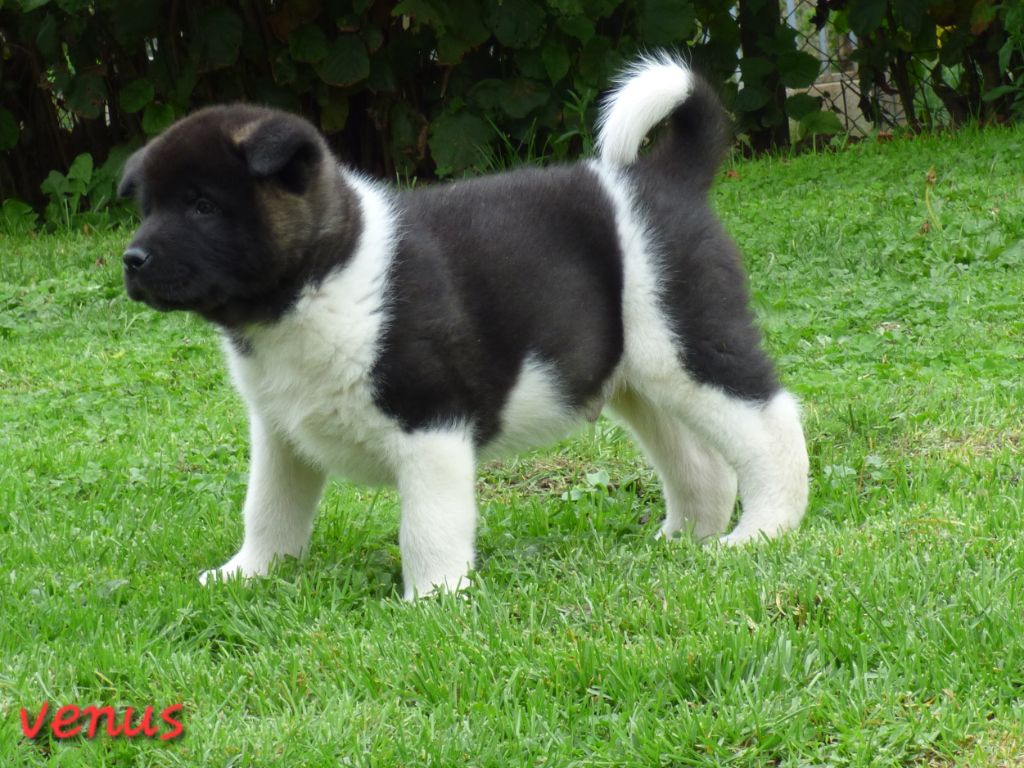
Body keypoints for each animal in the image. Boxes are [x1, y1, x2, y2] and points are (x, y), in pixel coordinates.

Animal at [118, 54, 809, 600]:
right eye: (148, 207)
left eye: (202, 206)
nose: (132, 260)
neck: (322, 275)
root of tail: (667, 178)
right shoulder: (280, 433)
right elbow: (268, 509)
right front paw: (249, 574)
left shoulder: (430, 424)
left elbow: (428, 526)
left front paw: (433, 599)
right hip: (639, 378)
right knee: (702, 463)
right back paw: (681, 541)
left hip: (684, 341)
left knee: (769, 424)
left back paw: (762, 532)